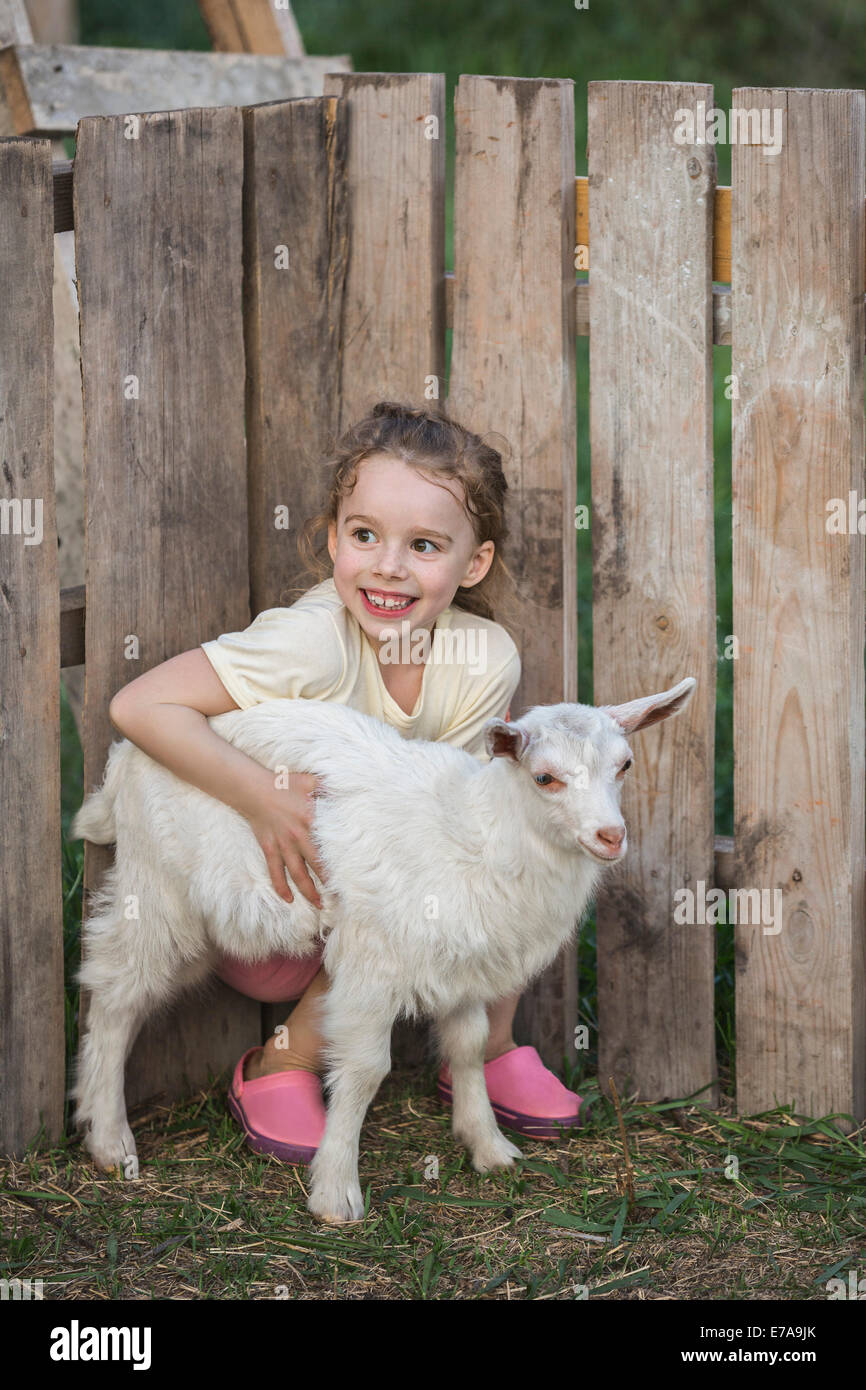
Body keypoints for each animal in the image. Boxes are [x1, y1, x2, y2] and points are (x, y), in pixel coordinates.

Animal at [72, 678, 697, 1223]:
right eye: (544, 777)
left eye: (625, 765)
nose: (610, 837)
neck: (478, 834)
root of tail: (120, 763)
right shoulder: (373, 960)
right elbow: (366, 1069)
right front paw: (335, 1193)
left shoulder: (464, 960)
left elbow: (469, 1046)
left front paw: (488, 1145)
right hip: (158, 892)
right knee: (116, 997)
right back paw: (109, 1139)